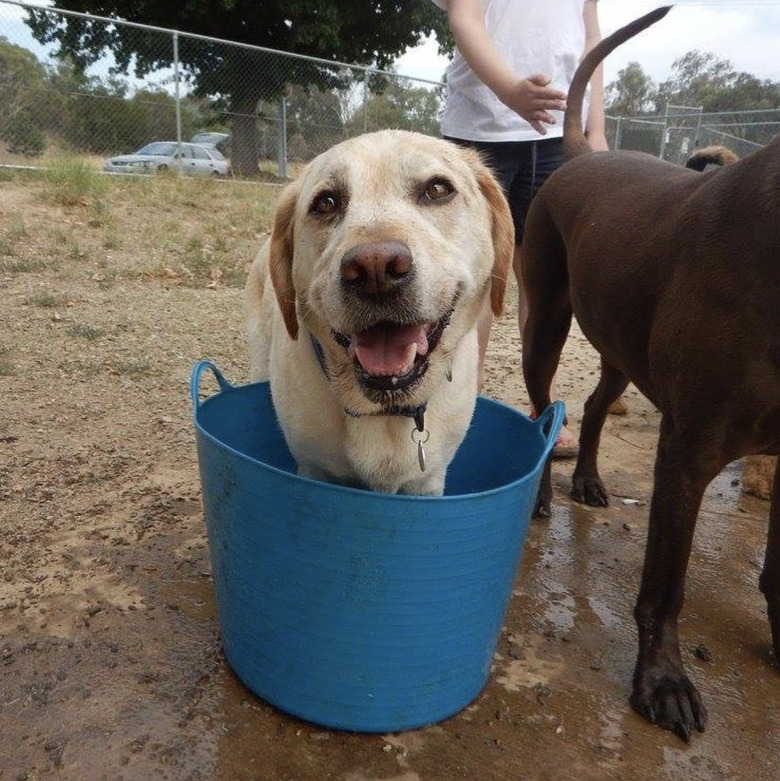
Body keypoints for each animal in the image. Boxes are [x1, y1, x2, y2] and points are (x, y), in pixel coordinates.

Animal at [244, 129, 512, 494]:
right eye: (325, 203)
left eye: (437, 189)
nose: (375, 270)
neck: (385, 410)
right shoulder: (314, 471)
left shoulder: (428, 482)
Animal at [520, 4, 780, 736]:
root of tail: (586, 152)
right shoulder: (689, 451)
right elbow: (666, 588)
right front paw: (662, 679)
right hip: (545, 326)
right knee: (542, 408)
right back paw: (543, 494)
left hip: (620, 353)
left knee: (592, 408)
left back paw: (587, 479)